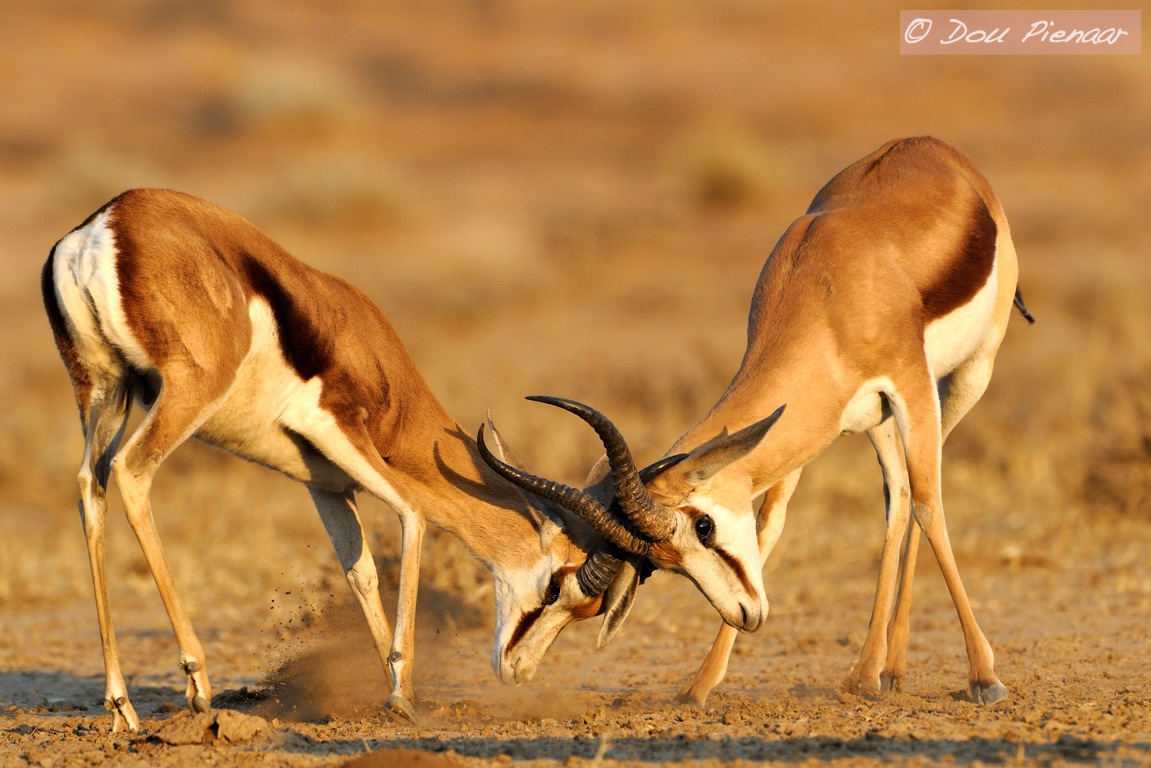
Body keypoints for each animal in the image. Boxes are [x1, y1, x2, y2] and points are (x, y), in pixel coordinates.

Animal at [41, 188, 787, 732]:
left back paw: (122, 704)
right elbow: (414, 517)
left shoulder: (322, 481)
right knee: (129, 475)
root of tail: (105, 225)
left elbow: (361, 569)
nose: (517, 673)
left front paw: (393, 685)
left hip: (100, 393)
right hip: (177, 400)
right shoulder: (337, 432)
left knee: (87, 488)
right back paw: (196, 684)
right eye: (558, 588)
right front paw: (401, 691)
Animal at [484, 136, 1033, 707]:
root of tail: (929, 146)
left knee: (922, 498)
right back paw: (879, 671)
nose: (745, 615)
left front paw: (984, 678)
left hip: (964, 381)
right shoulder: (814, 421)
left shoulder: (910, 385)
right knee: (897, 498)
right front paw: (699, 684)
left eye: (703, 527)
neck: (831, 292)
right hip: (874, 420)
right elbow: (773, 525)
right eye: (662, 563)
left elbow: (931, 506)